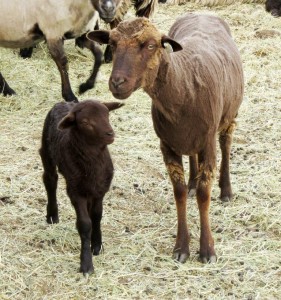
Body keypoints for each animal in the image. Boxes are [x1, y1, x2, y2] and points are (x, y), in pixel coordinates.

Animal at [39, 99, 123, 274]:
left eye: (107, 114)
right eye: (85, 122)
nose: (110, 134)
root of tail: (65, 102)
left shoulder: (100, 190)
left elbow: (97, 216)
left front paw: (97, 245)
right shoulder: (76, 192)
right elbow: (85, 224)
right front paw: (86, 264)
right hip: (46, 151)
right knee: (50, 180)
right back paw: (52, 215)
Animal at [87, 14, 243, 262]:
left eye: (151, 45)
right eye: (112, 44)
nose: (117, 83)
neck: (183, 86)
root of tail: (202, 13)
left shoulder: (207, 142)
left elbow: (204, 195)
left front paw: (207, 250)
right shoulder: (167, 144)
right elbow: (179, 193)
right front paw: (181, 248)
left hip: (229, 115)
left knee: (226, 143)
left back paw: (226, 191)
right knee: (192, 158)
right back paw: (193, 182)